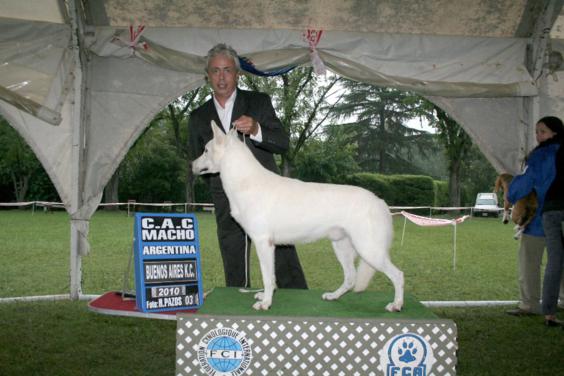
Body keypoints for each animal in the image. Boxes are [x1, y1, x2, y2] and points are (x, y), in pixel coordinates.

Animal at [192, 121, 404, 312]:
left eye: (205, 150)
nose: (191, 164)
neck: (245, 181)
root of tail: (380, 201)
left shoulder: (263, 243)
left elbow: (267, 277)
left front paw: (265, 303)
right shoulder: (268, 246)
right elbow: (272, 278)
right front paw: (266, 297)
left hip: (369, 249)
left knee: (398, 275)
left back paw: (396, 305)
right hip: (342, 246)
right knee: (350, 278)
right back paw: (333, 296)